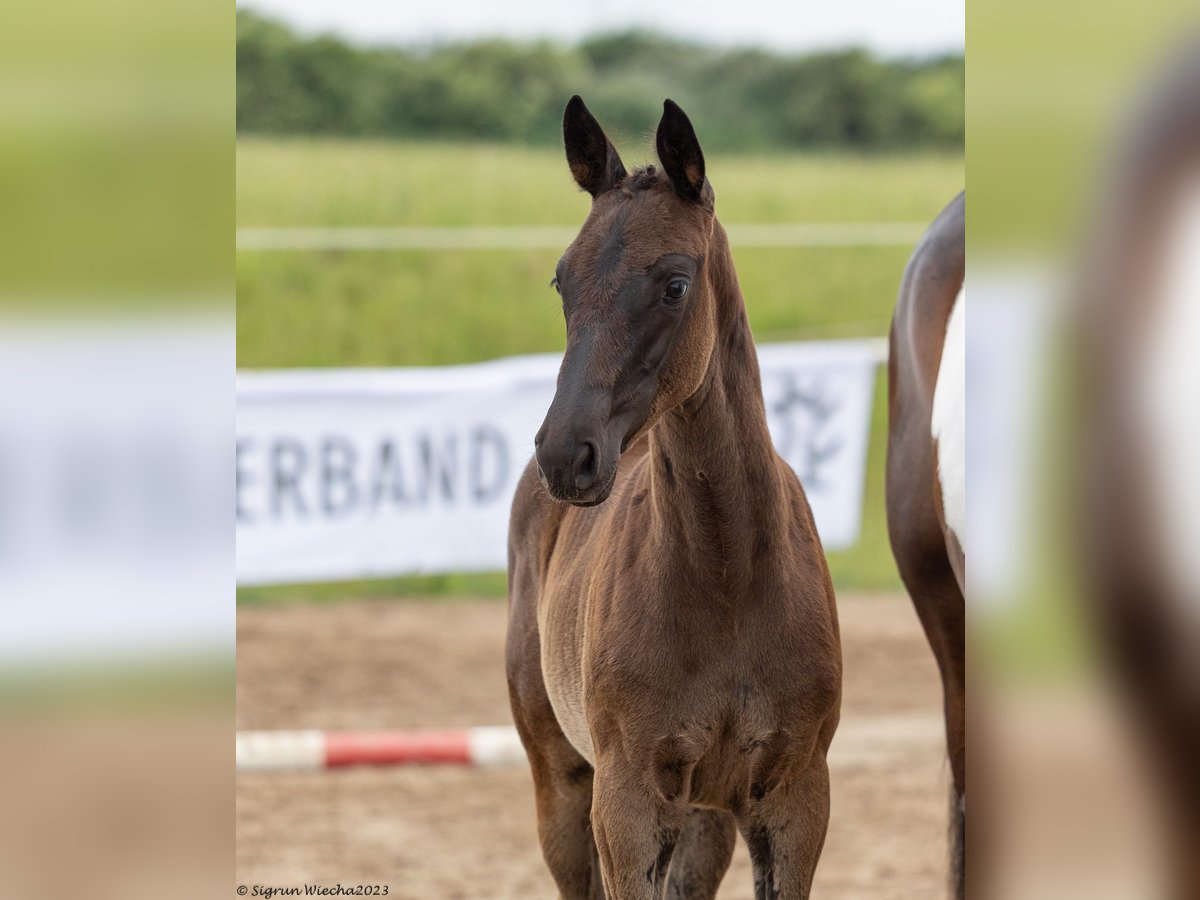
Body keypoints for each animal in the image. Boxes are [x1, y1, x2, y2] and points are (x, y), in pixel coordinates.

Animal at [506, 95, 844, 897]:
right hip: (563, 784)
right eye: (562, 281)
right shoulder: (627, 806)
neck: (729, 579)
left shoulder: (795, 802)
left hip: (705, 819)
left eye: (675, 284)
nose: (565, 453)